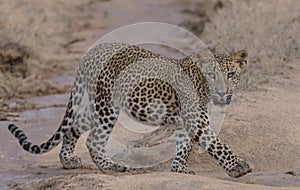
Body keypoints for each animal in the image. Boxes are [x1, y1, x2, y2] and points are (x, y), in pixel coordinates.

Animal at [7, 42, 253, 178]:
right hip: (107, 106)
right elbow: (216, 144)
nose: (222, 92)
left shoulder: (187, 122)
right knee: (94, 138)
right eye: (211, 75)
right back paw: (110, 167)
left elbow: (184, 147)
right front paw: (238, 167)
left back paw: (68, 160)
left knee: (75, 125)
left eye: (231, 75)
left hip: (98, 104)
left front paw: (179, 170)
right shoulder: (196, 120)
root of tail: (90, 52)